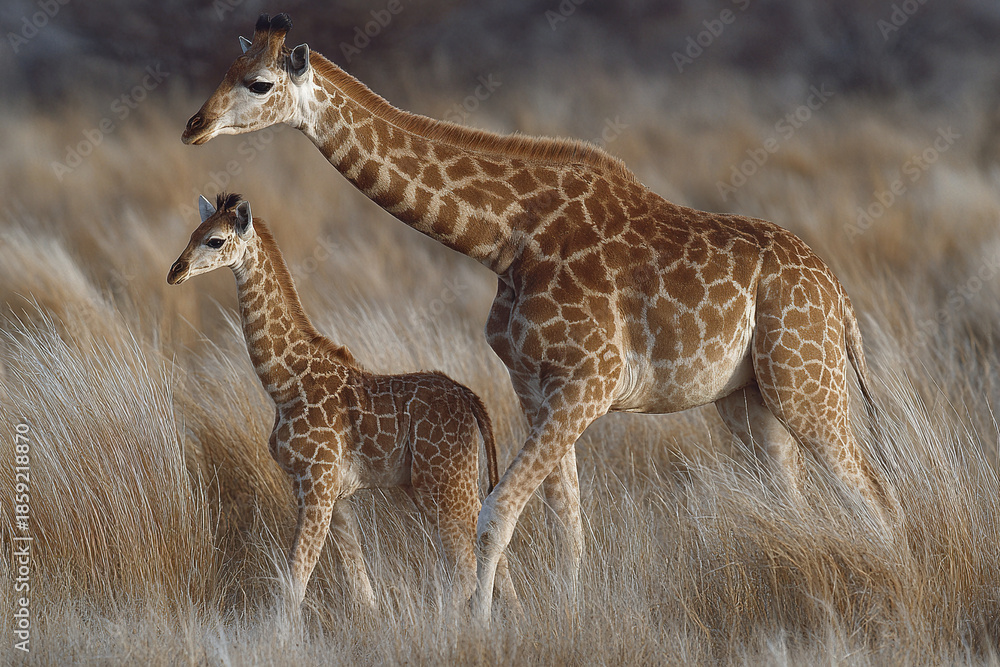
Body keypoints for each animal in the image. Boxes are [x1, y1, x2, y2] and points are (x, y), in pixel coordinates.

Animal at [166, 192, 518, 609]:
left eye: (215, 240)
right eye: (193, 232)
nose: (175, 272)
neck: (284, 384)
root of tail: (471, 399)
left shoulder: (317, 479)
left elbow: (296, 579)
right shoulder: (330, 490)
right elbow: (360, 586)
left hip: (442, 481)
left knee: (465, 568)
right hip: (441, 483)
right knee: (490, 546)